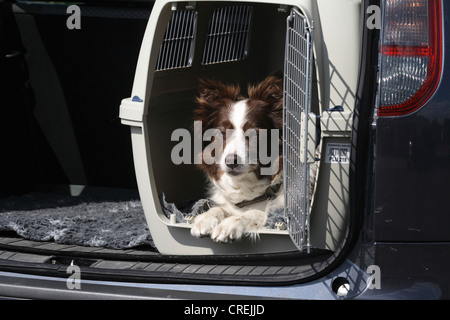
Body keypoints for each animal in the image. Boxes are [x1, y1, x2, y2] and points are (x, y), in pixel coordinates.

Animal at [190, 74, 284, 242]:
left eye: (254, 134)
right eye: (222, 132)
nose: (231, 162)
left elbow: (253, 213)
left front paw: (229, 224)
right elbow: (220, 209)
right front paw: (205, 218)